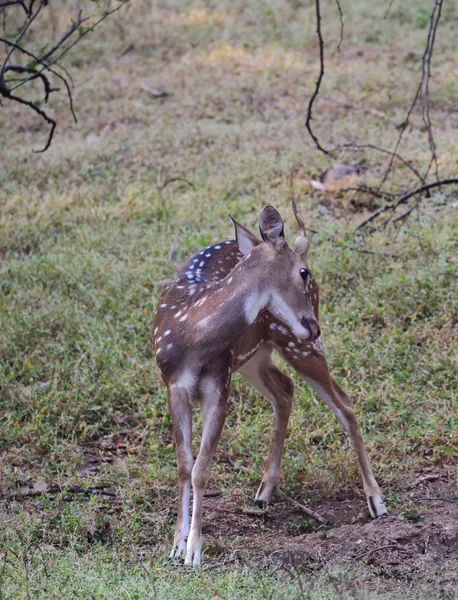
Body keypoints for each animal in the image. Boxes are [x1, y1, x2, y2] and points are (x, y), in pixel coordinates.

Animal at [154, 204, 386, 564]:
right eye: (302, 272)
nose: (314, 326)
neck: (191, 336)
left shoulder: (219, 385)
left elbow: (201, 469)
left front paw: (194, 551)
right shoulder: (173, 385)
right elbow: (183, 465)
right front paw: (176, 546)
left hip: (296, 346)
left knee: (344, 404)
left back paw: (376, 502)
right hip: (256, 357)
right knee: (285, 389)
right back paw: (263, 492)